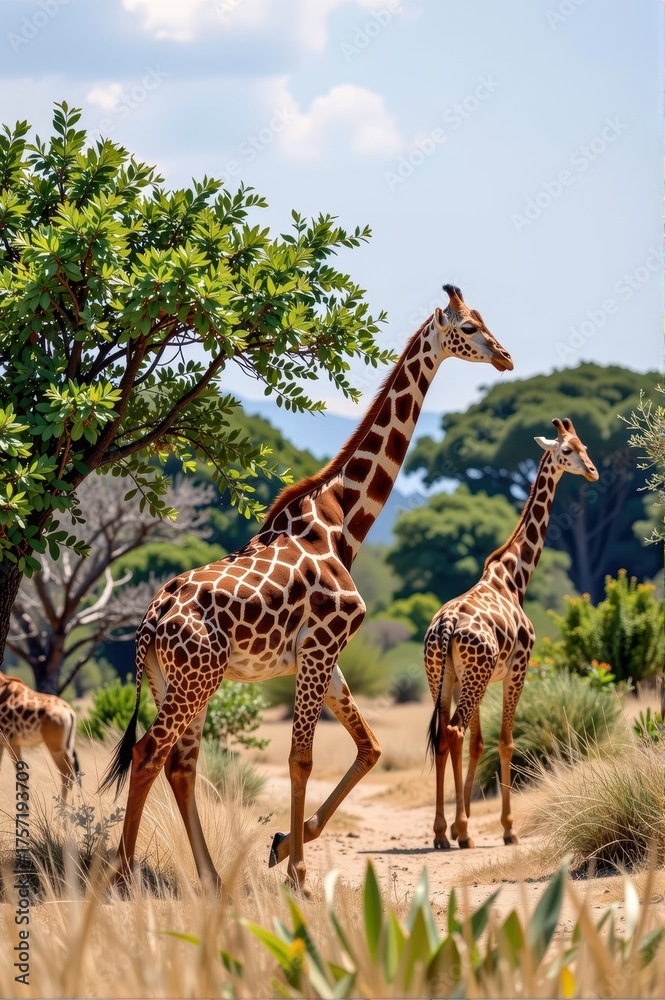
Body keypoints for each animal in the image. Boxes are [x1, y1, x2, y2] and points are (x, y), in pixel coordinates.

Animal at [0, 671, 81, 800]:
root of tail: (69, 712)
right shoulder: (10, 743)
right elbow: (22, 777)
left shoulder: (6, 740)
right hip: (67, 745)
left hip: (55, 748)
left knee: (67, 774)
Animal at [99, 284, 514, 893]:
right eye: (467, 327)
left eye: (484, 319)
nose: (505, 357)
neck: (344, 522)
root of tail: (148, 625)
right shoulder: (320, 647)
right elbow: (302, 759)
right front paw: (296, 871)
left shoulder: (325, 657)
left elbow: (370, 748)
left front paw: (281, 846)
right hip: (194, 681)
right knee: (151, 752)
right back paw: (125, 876)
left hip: (174, 680)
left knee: (180, 762)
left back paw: (211, 878)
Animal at [424, 417, 598, 850]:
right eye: (567, 450)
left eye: (584, 446)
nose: (593, 471)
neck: (514, 578)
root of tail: (446, 627)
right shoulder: (518, 668)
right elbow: (505, 741)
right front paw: (507, 828)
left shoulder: (486, 678)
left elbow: (478, 743)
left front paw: (463, 822)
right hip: (473, 677)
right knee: (453, 732)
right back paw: (462, 832)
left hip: (443, 678)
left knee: (444, 737)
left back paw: (442, 832)